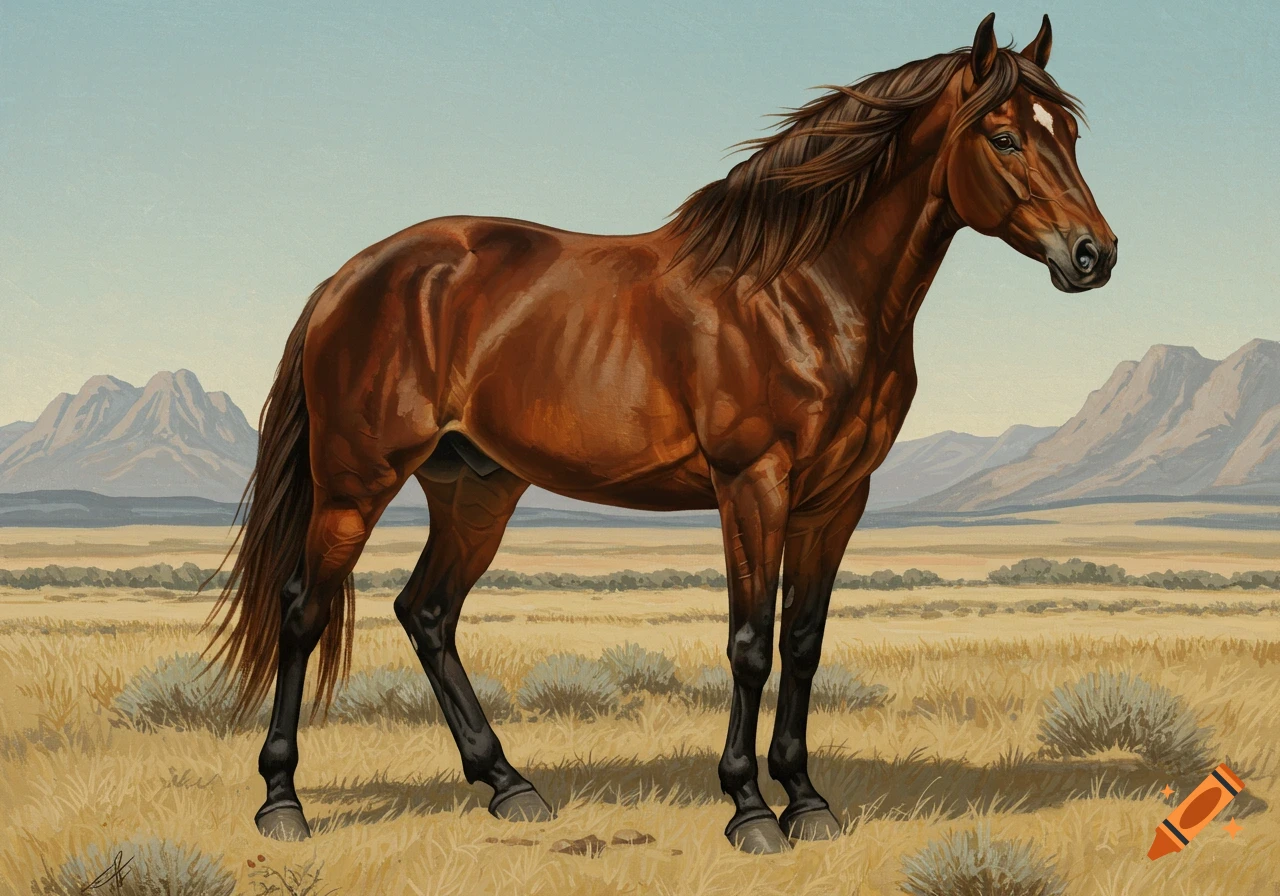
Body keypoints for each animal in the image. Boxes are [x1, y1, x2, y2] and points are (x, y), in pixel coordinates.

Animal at [209, 12, 1116, 854]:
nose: (1094, 255)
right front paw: (749, 810)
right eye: (1004, 136)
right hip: (355, 483)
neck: (801, 292)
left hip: (475, 490)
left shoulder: (835, 500)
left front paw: (807, 802)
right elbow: (750, 644)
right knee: (304, 609)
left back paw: (509, 785)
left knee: (428, 613)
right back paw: (282, 804)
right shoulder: (753, 484)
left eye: (1069, 133)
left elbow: (804, 643)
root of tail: (349, 278)